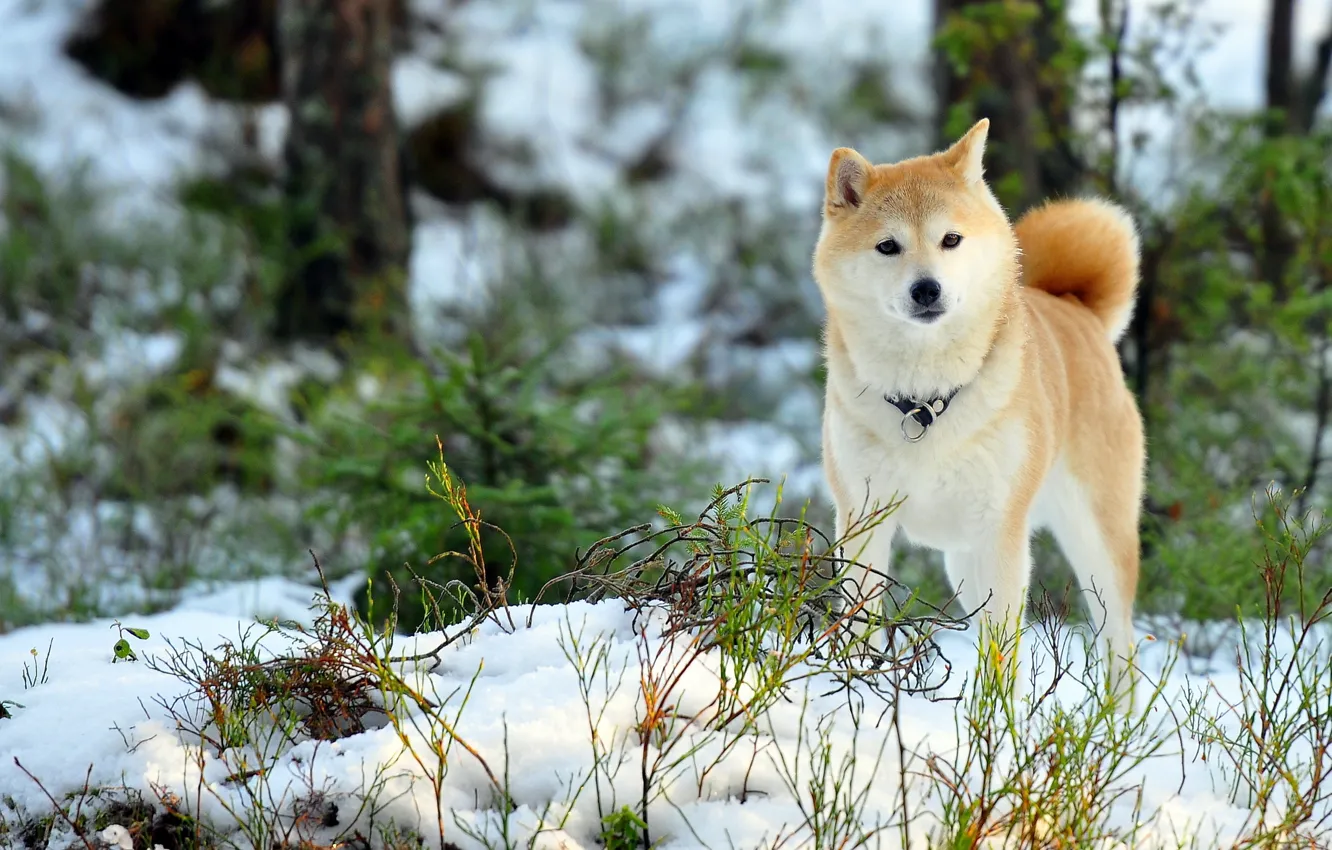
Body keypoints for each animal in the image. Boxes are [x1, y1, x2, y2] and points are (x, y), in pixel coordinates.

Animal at [809, 118, 1145, 692]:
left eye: (951, 239)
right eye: (887, 246)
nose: (927, 289)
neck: (923, 403)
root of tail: (1078, 309)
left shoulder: (1000, 535)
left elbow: (1002, 657)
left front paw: (997, 715)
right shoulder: (863, 521)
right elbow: (859, 625)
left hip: (1097, 546)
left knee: (1120, 649)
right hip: (963, 565)